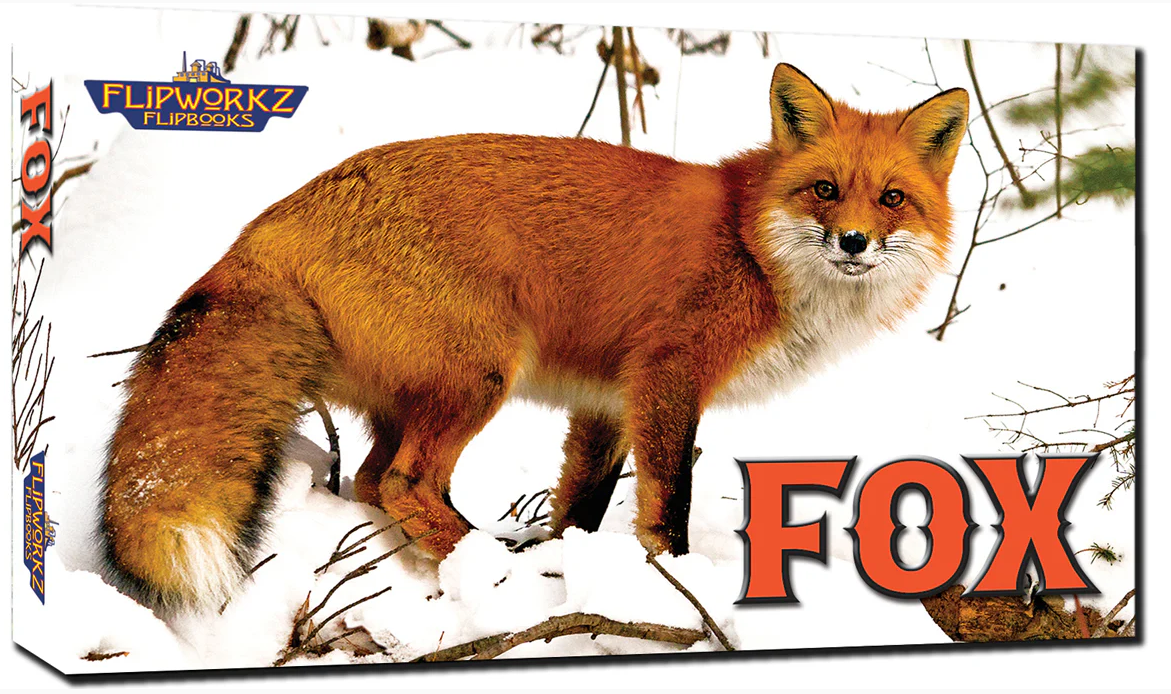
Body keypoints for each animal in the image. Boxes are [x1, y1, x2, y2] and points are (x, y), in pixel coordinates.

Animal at [100, 63, 968, 614]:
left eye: (891, 199)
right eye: (824, 189)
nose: (853, 241)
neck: (752, 247)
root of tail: (274, 220)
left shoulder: (607, 401)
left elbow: (582, 505)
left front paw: (577, 565)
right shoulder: (668, 376)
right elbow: (669, 506)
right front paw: (672, 587)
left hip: (417, 397)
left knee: (373, 482)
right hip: (481, 375)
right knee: (405, 483)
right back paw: (489, 569)